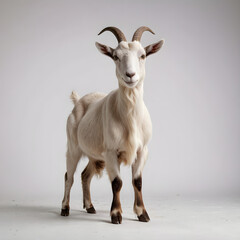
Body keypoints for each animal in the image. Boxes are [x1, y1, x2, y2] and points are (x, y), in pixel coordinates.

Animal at [61, 27, 164, 224]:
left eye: (142, 55)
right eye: (115, 56)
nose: (130, 75)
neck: (130, 119)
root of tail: (78, 101)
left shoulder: (142, 150)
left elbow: (137, 181)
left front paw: (142, 214)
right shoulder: (111, 152)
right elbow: (117, 182)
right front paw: (116, 215)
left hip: (95, 155)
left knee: (85, 175)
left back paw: (90, 207)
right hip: (73, 147)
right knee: (68, 176)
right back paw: (64, 208)